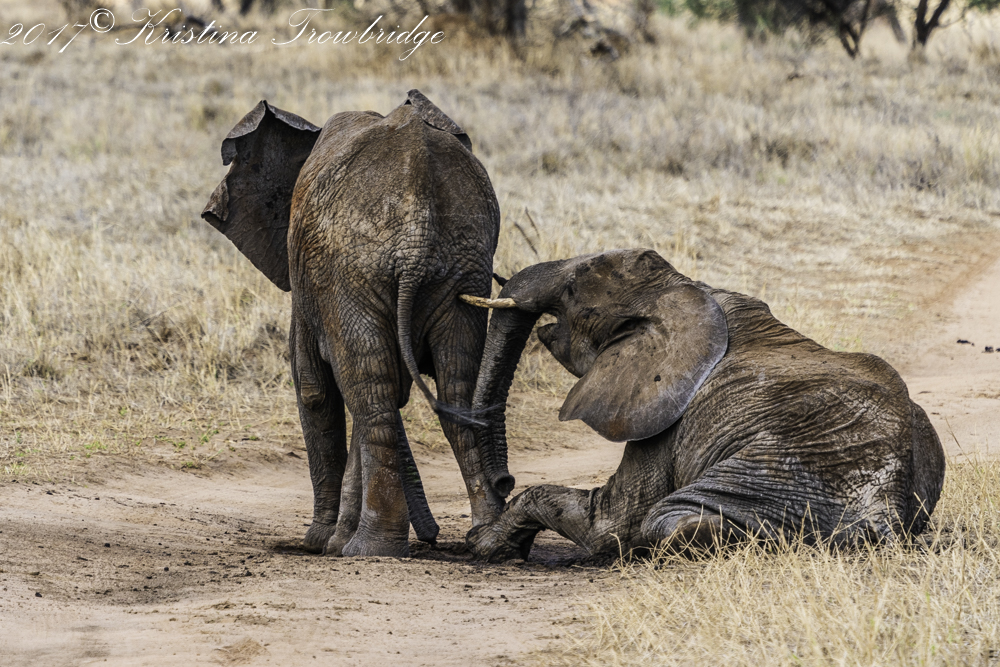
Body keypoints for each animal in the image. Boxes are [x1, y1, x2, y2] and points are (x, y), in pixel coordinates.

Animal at [202, 90, 507, 558]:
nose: (432, 535)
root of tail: (417, 231)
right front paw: (334, 539)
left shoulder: (309, 280)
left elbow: (313, 391)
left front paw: (320, 540)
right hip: (462, 268)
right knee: (451, 388)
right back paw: (488, 538)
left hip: (352, 271)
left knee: (371, 395)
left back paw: (370, 548)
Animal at [465, 249, 946, 560]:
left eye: (571, 289)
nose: (502, 481)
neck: (684, 288)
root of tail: (885, 504)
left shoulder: (666, 417)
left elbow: (610, 523)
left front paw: (485, 545)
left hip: (785, 468)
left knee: (664, 521)